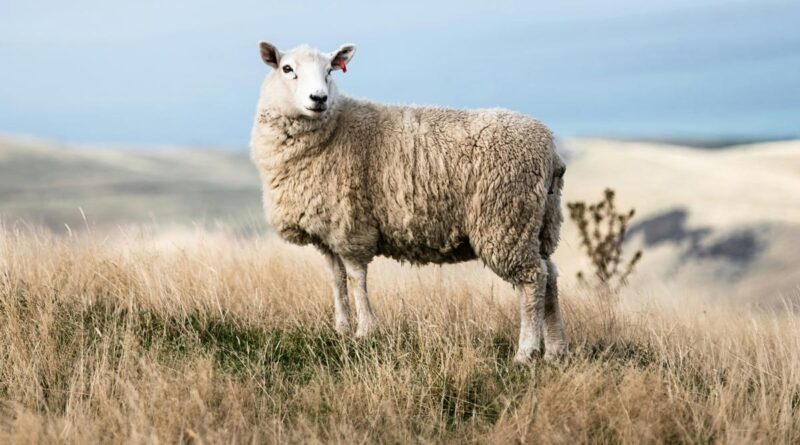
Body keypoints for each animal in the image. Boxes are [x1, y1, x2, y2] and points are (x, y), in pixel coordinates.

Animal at [250, 41, 568, 360]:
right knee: (550, 276)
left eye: (330, 70)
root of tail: (551, 150)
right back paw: (555, 350)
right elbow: (336, 279)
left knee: (532, 280)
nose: (319, 98)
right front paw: (341, 329)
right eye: (287, 68)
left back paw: (526, 352)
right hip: (539, 223)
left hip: (506, 220)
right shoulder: (327, 233)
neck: (335, 128)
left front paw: (365, 330)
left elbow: (356, 278)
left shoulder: (352, 227)